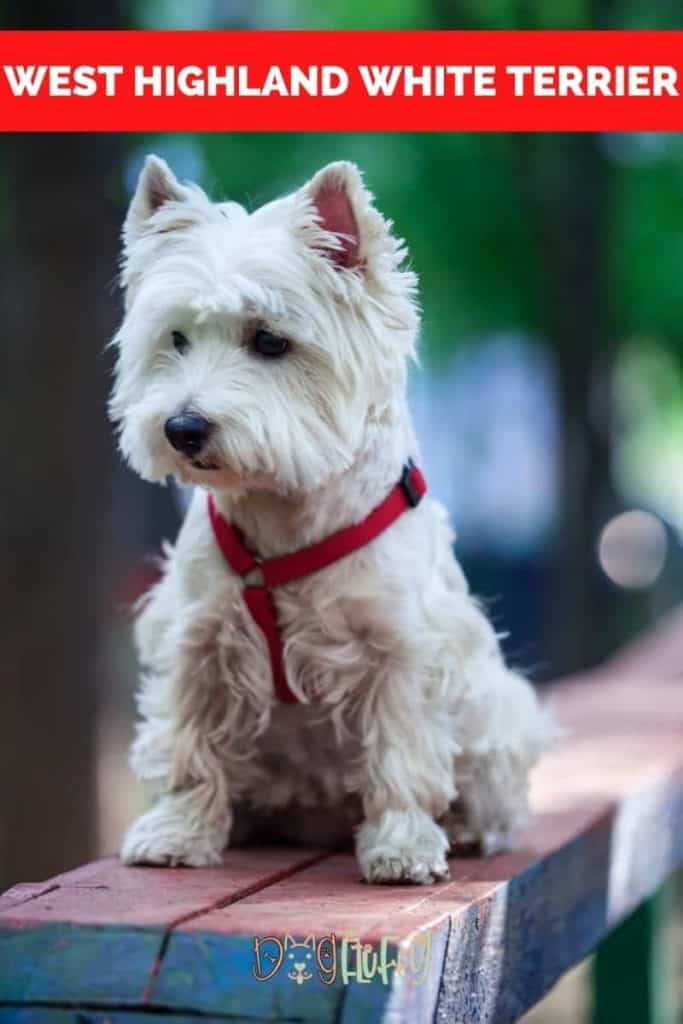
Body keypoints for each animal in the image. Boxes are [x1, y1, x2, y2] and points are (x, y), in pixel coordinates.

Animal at [109, 155, 552, 884]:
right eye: (175, 337)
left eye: (269, 340)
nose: (182, 427)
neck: (281, 514)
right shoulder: (198, 638)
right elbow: (191, 745)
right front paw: (177, 832)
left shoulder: (399, 649)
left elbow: (401, 754)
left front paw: (402, 847)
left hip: (498, 714)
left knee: (490, 791)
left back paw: (461, 829)